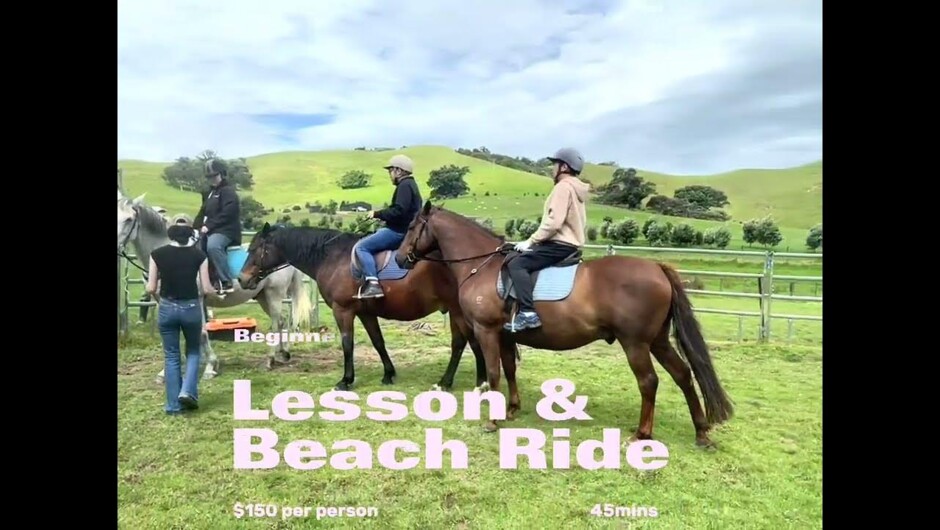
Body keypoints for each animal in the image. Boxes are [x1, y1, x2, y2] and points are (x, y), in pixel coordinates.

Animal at [117, 190, 312, 380]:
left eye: (129, 219)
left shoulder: (195, 299)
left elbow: (202, 333)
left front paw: (210, 366)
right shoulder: (164, 302)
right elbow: (173, 334)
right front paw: (167, 371)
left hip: (274, 294)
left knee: (276, 322)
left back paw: (270, 359)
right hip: (262, 296)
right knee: (282, 321)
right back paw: (283, 353)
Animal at [239, 221, 510, 390]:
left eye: (254, 249)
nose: (242, 279)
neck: (333, 257)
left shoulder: (343, 310)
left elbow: (347, 344)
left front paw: (346, 380)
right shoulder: (365, 313)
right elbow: (378, 342)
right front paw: (388, 374)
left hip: (457, 311)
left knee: (463, 342)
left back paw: (458, 382)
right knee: (468, 342)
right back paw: (474, 381)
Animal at [394, 200, 736, 448]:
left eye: (411, 226)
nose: (399, 258)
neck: (482, 266)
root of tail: (657, 268)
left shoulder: (487, 331)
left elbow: (493, 373)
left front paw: (492, 420)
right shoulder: (505, 335)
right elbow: (510, 369)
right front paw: (512, 409)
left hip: (636, 343)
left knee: (649, 382)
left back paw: (643, 433)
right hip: (658, 341)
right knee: (683, 374)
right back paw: (701, 433)